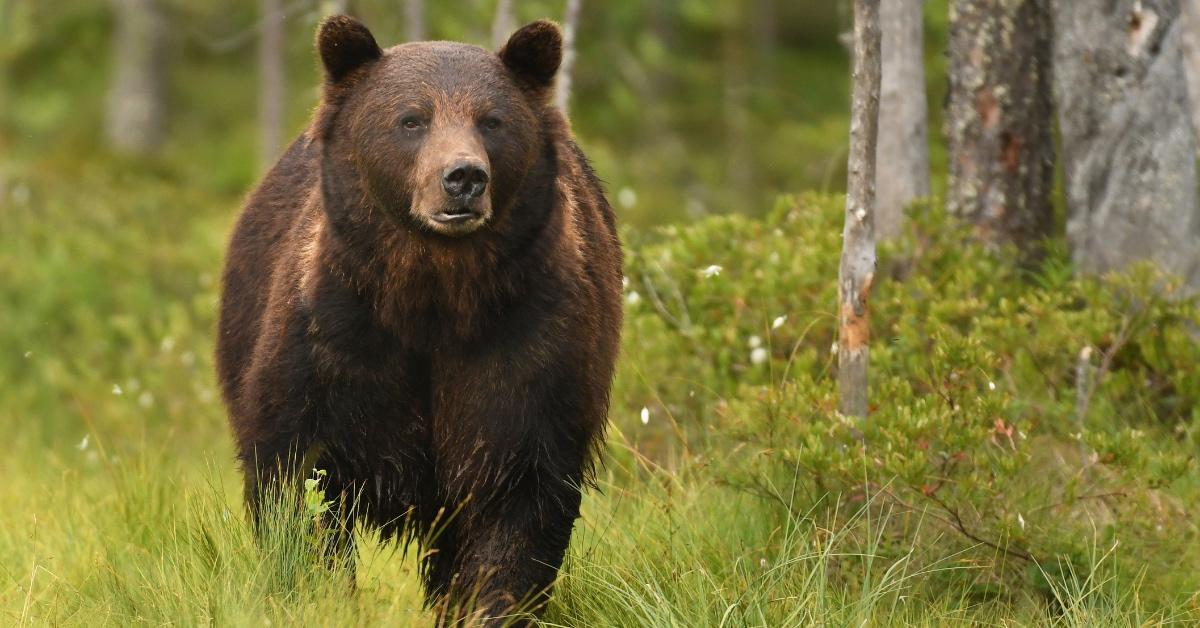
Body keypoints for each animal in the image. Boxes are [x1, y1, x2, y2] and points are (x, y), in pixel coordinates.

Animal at [216, 14, 624, 624]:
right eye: (411, 119)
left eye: (492, 120)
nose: (464, 178)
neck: (433, 298)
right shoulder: (334, 338)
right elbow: (296, 479)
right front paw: (320, 592)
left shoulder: (528, 341)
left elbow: (519, 494)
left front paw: (489, 605)